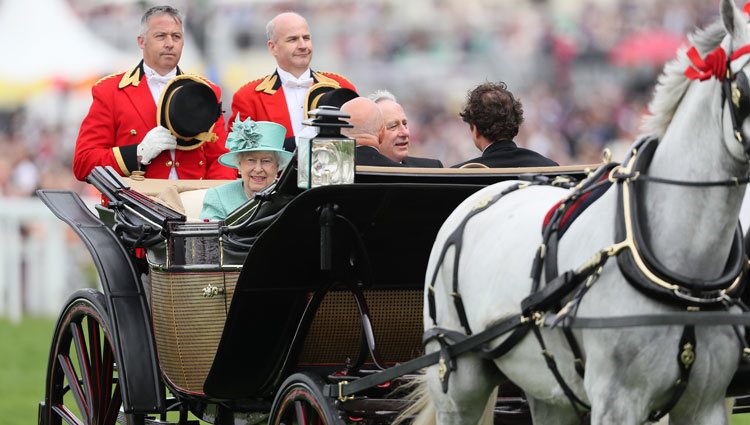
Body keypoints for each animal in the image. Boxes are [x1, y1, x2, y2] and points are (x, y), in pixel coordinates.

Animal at [414, 0, 750, 424]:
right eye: (744, 86)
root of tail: (481, 195)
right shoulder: (616, 401)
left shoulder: (705, 403)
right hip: (458, 378)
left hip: (546, 385)